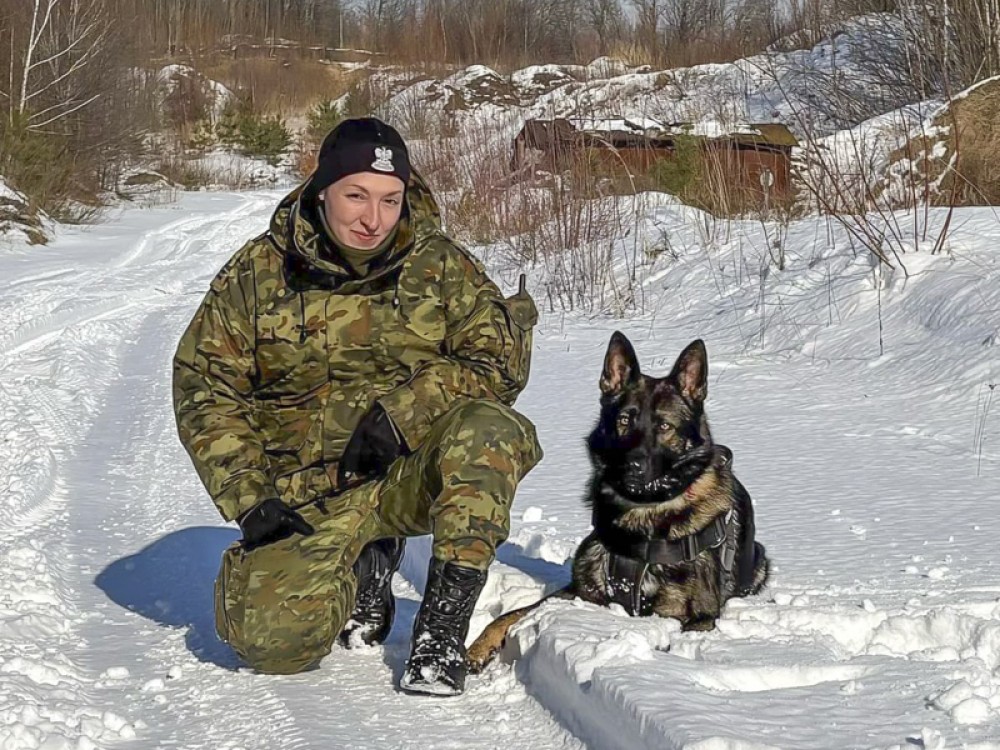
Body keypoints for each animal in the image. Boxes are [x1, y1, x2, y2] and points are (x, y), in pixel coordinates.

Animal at [468, 332, 769, 672]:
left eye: (664, 426)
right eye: (625, 419)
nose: (632, 466)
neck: (645, 511)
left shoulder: (699, 618)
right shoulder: (580, 592)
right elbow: (510, 614)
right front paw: (477, 648)